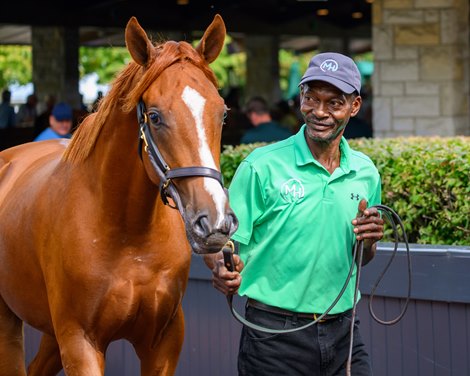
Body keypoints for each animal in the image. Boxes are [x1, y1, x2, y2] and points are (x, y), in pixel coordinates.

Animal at [0, 14, 237, 376]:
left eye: (222, 113)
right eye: (154, 116)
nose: (213, 222)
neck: (128, 236)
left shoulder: (164, 341)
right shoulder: (81, 342)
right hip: (11, 322)